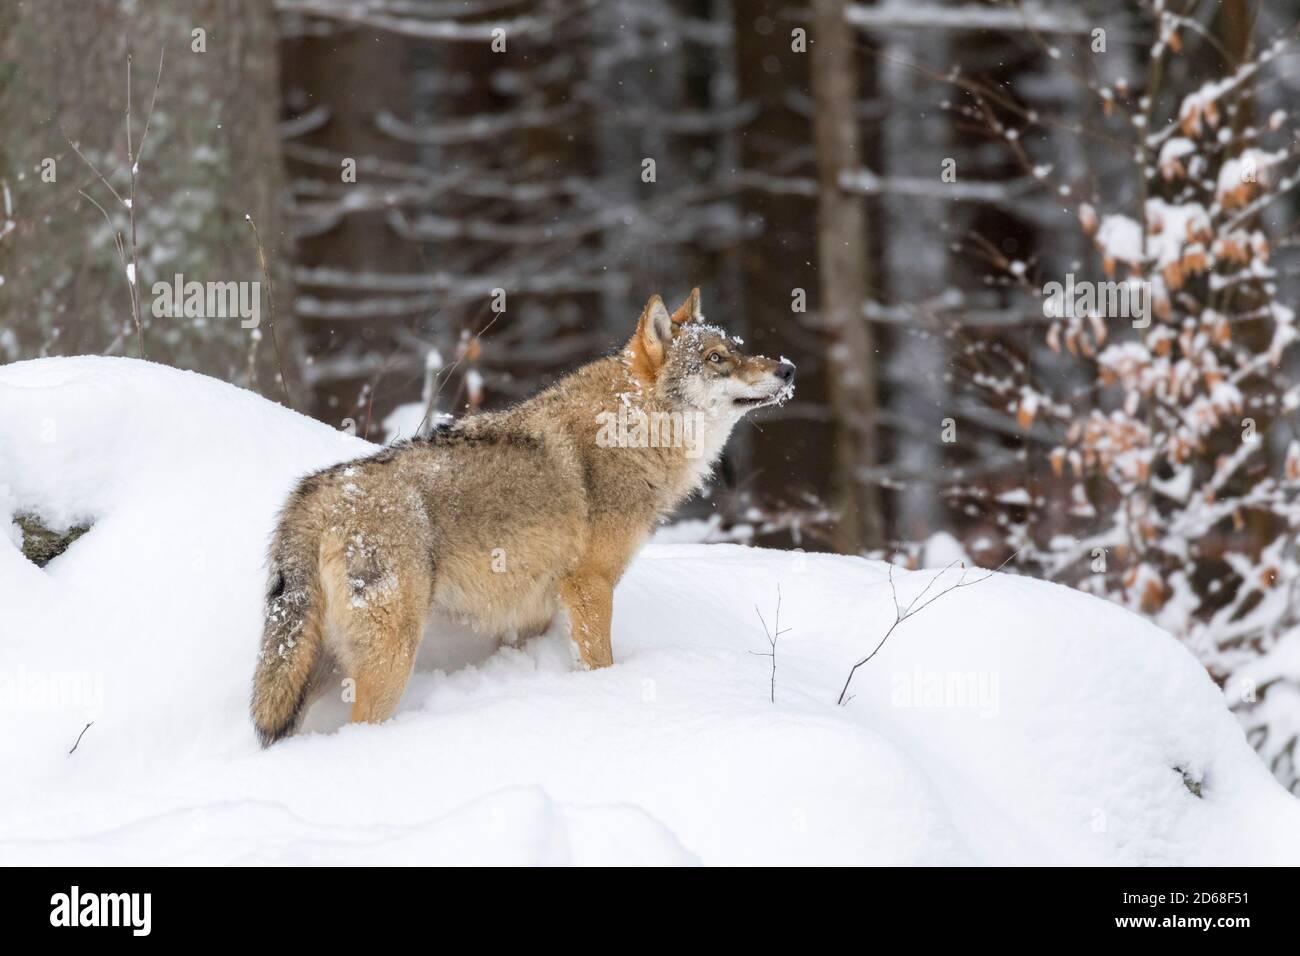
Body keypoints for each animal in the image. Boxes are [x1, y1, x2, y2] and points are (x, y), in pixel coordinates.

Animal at [250, 289, 795, 745]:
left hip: (315, 667)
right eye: (716, 359)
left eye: (739, 348)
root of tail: (315, 493)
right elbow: (601, 663)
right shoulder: (590, 586)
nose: (788, 368)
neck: (631, 428)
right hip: (388, 660)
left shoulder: (531, 612)